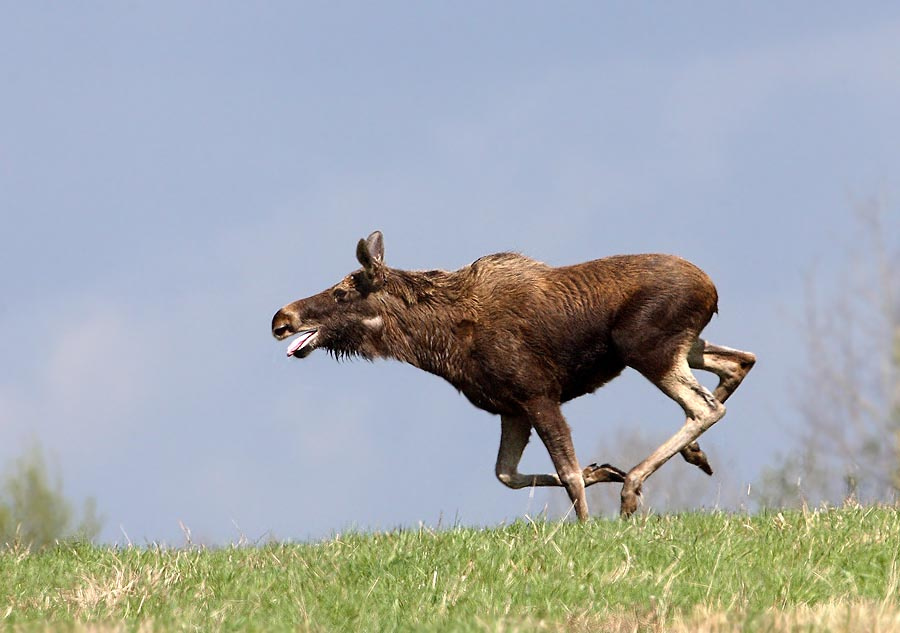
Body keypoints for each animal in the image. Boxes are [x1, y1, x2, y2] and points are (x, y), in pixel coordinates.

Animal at [271, 231, 756, 520]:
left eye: (340, 293)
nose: (281, 318)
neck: (437, 344)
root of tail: (712, 289)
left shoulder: (538, 394)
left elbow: (567, 474)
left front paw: (589, 521)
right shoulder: (511, 408)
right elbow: (508, 473)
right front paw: (604, 470)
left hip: (646, 348)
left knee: (704, 407)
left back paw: (635, 485)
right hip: (684, 347)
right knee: (741, 361)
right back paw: (692, 456)